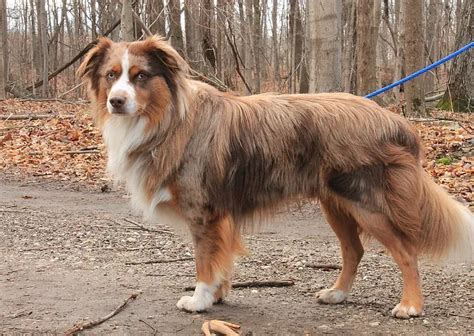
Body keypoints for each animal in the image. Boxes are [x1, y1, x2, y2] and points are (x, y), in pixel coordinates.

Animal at [76, 35, 472, 318]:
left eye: (140, 76)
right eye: (111, 75)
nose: (116, 101)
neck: (168, 118)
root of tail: (395, 120)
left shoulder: (203, 211)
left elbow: (204, 259)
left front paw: (199, 299)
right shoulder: (222, 216)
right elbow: (221, 259)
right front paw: (217, 295)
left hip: (367, 203)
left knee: (406, 251)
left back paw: (411, 306)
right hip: (336, 204)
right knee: (354, 249)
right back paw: (338, 293)